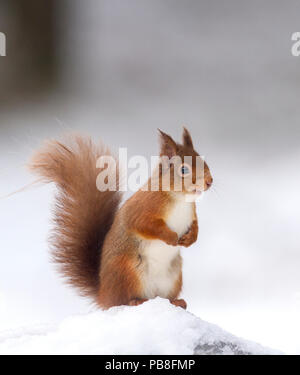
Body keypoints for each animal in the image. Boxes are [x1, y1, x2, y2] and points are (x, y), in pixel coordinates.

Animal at [27, 128, 211, 310]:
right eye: (184, 170)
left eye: (204, 161)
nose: (210, 181)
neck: (179, 199)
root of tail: (104, 295)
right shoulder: (143, 209)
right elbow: (146, 225)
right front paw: (171, 237)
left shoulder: (191, 214)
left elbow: (195, 226)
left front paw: (190, 239)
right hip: (127, 271)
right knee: (122, 300)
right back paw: (136, 301)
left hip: (173, 278)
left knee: (163, 297)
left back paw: (176, 302)